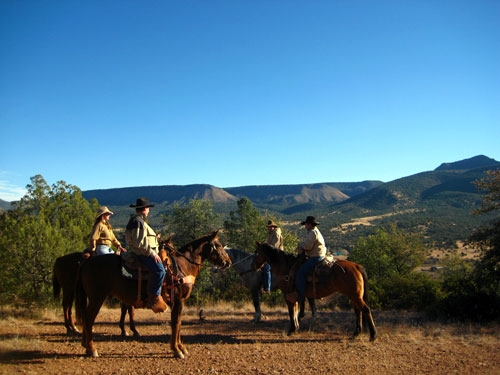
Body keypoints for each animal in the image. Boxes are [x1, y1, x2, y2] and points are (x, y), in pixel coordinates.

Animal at [75, 231, 231, 360]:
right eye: (218, 245)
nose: (228, 262)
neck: (182, 267)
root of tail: (85, 263)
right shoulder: (178, 301)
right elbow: (176, 323)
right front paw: (176, 350)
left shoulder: (179, 302)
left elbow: (179, 323)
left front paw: (181, 347)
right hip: (97, 297)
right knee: (89, 318)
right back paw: (92, 349)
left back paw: (86, 346)